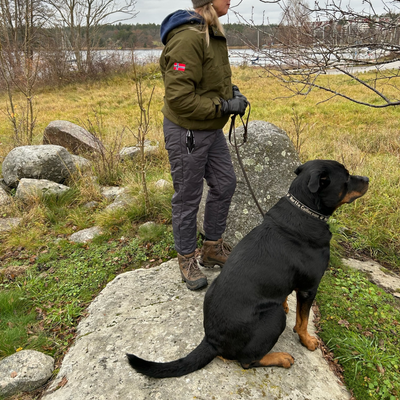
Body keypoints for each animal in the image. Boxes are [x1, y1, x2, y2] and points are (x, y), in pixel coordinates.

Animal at [127, 159, 368, 378]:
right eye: (347, 178)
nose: (366, 178)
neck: (305, 210)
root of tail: (211, 340)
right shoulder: (309, 288)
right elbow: (302, 321)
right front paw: (307, 340)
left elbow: (286, 297)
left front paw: (286, 304)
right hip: (273, 317)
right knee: (247, 360)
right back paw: (281, 357)